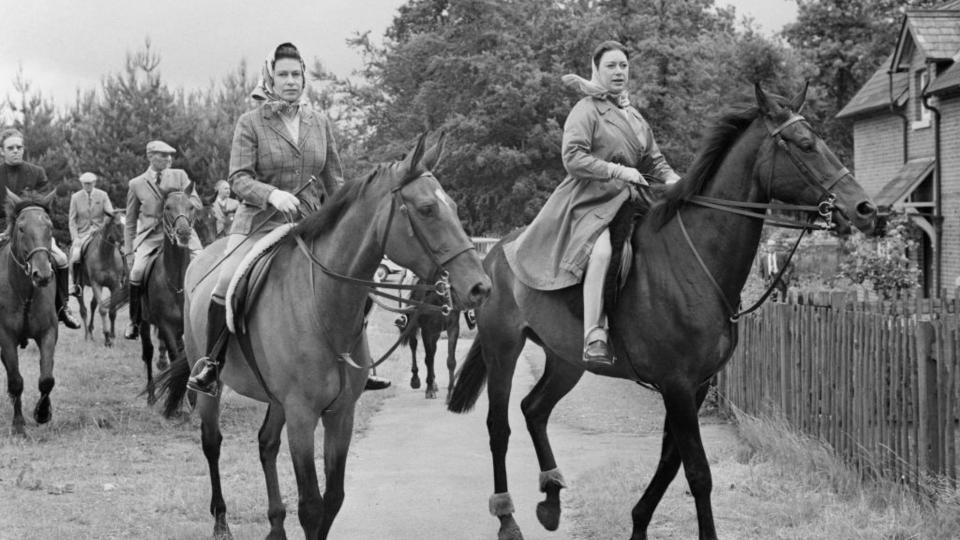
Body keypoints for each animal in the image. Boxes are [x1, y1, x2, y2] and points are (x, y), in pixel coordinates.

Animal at [75, 211, 126, 346]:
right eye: (117, 225)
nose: (124, 243)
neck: (105, 255)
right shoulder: (96, 284)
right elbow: (103, 310)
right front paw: (107, 338)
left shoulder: (114, 285)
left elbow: (112, 311)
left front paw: (112, 335)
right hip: (81, 286)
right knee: (83, 310)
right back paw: (87, 335)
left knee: (92, 305)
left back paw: (91, 331)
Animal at [157, 132, 492, 540]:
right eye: (427, 209)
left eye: (454, 206)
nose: (479, 287)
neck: (323, 307)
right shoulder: (303, 416)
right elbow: (312, 505)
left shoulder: (340, 414)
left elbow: (332, 499)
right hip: (213, 388)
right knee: (212, 444)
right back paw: (221, 521)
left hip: (277, 401)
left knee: (266, 445)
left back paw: (275, 525)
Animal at [448, 84, 876, 540]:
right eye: (805, 145)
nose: (865, 208)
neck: (693, 259)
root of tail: (492, 256)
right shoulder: (677, 384)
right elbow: (697, 472)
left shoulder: (696, 385)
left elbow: (671, 463)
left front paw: (637, 524)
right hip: (502, 349)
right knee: (499, 427)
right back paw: (507, 518)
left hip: (566, 361)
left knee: (534, 410)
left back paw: (551, 499)